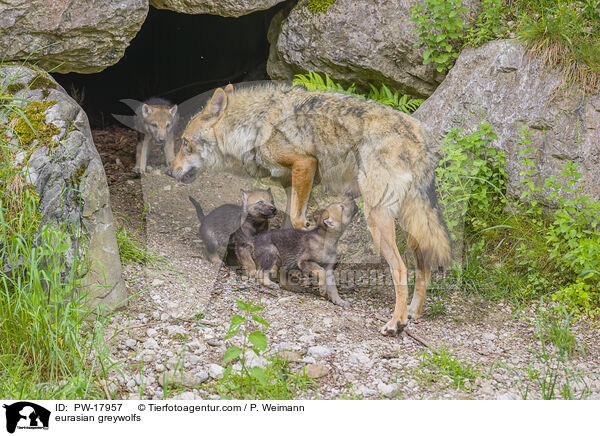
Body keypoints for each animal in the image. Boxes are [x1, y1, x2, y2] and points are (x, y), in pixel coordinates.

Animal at [166, 82, 448, 334]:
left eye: (185, 143)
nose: (169, 171)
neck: (254, 125)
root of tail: (418, 135)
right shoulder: (292, 183)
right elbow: (287, 229)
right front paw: (283, 274)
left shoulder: (305, 164)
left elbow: (297, 221)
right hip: (410, 225)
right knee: (423, 266)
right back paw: (412, 313)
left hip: (378, 219)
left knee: (400, 268)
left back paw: (395, 323)